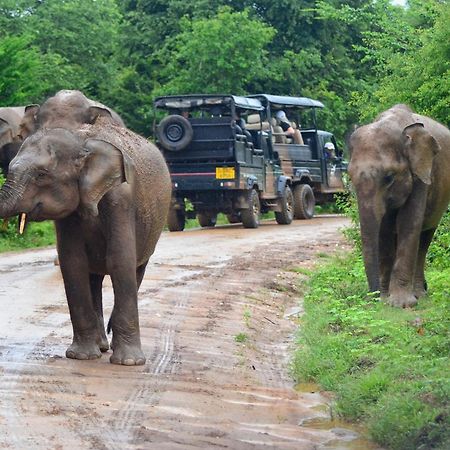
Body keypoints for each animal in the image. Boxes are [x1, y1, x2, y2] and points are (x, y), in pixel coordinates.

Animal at [0, 114, 172, 364]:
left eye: (42, 174)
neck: (82, 142)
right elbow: (73, 261)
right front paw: (80, 357)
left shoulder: (121, 198)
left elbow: (120, 260)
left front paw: (128, 362)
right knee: (94, 277)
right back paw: (100, 347)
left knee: (136, 269)